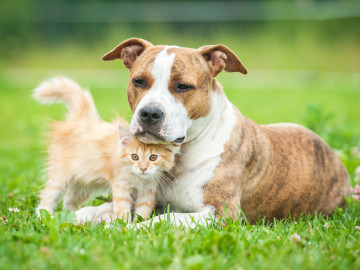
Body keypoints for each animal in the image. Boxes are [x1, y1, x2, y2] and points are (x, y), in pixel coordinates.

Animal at [33, 76, 177, 221]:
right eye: (134, 157)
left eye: (153, 158)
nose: (143, 168)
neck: (139, 178)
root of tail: (81, 120)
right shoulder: (120, 186)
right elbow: (123, 209)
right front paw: (123, 224)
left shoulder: (148, 192)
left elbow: (142, 212)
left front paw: (138, 223)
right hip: (60, 175)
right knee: (48, 194)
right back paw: (43, 216)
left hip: (82, 182)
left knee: (69, 199)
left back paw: (70, 215)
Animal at [75, 38, 348, 226]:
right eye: (138, 81)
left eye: (183, 86)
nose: (150, 113)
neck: (180, 155)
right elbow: (98, 209)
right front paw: (80, 215)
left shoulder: (221, 213)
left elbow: (165, 219)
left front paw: (133, 229)